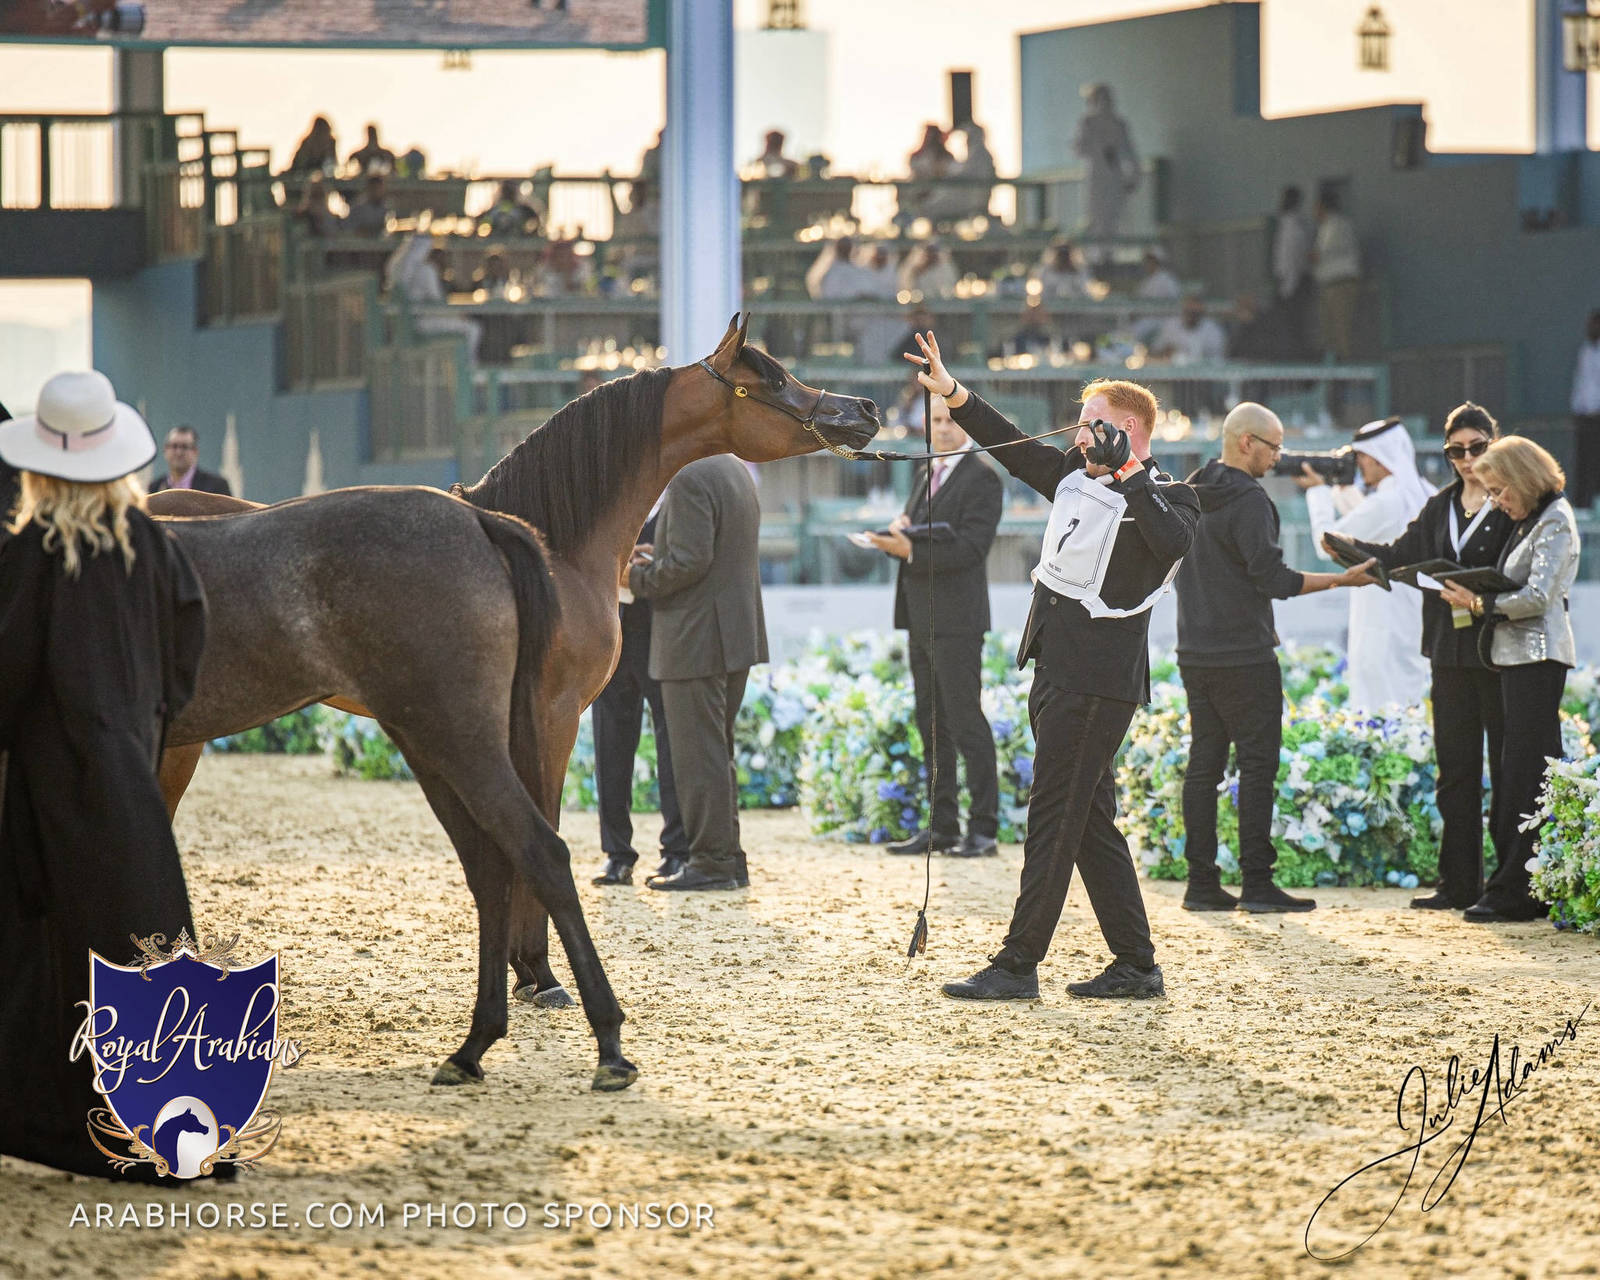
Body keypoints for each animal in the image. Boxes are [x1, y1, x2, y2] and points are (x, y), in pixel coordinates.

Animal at [147, 316, 880, 1093]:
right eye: (773, 378)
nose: (864, 408)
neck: (551, 545)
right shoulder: (551, 717)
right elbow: (541, 831)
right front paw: (540, 974)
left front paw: (525, 980)